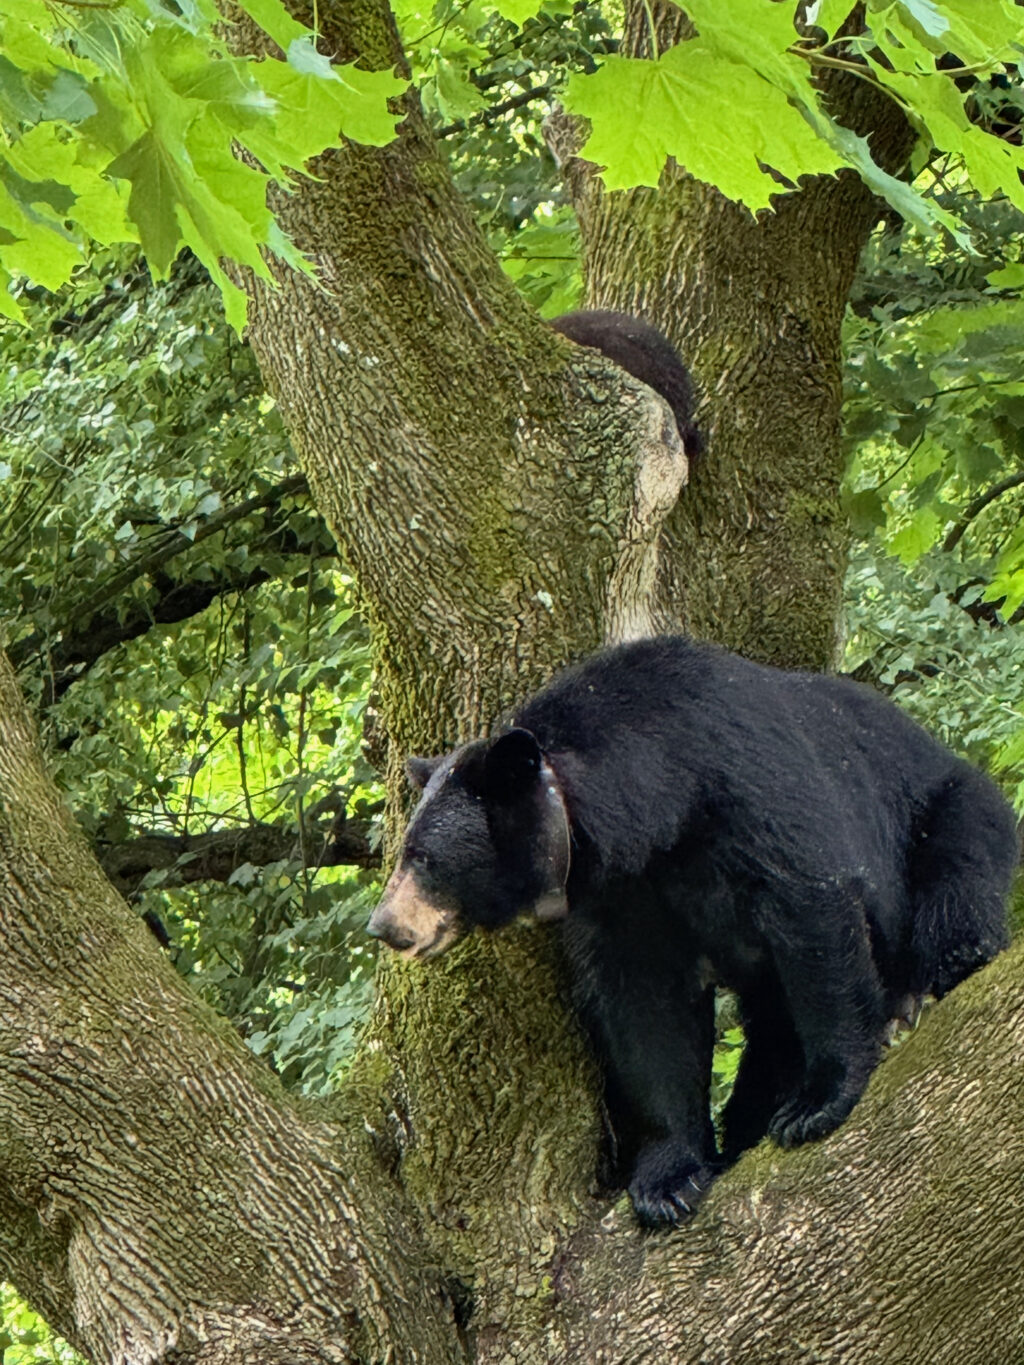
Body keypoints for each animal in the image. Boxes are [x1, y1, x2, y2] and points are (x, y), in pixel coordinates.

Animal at [365, 636, 1021, 1228]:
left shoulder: (750, 794)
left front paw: (817, 1101)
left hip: (946, 809)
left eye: (423, 857)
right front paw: (668, 1178)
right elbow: (646, 1013)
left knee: (958, 877)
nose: (383, 925)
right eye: (406, 851)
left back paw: (927, 982)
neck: (663, 806)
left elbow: (812, 919)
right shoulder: (627, 899)